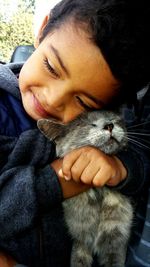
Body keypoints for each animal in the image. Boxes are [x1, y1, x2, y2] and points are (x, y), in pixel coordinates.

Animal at [37, 111, 134, 267]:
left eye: (113, 118)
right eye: (90, 124)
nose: (109, 125)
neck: (99, 194)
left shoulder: (116, 242)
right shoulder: (80, 241)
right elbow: (78, 260)